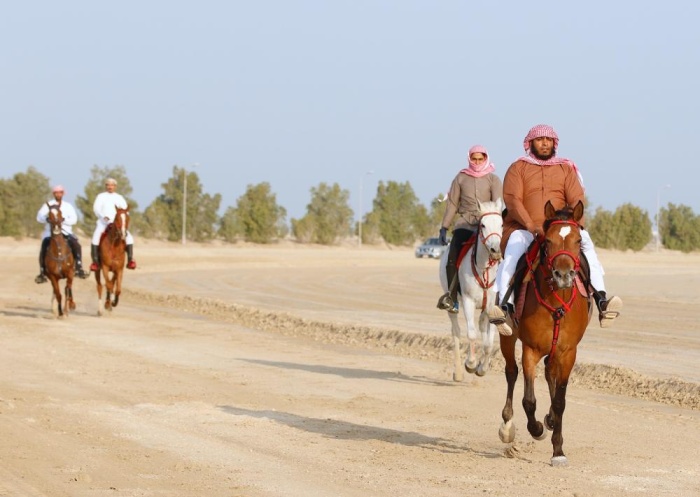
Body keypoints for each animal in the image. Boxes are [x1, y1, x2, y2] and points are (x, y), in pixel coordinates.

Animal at [438, 198, 504, 380]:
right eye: (483, 225)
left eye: (501, 224)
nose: (495, 250)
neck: (484, 269)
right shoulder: (468, 301)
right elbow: (471, 334)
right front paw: (471, 364)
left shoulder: (490, 307)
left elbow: (488, 343)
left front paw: (482, 368)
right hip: (453, 306)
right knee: (456, 331)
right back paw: (459, 373)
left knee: (481, 327)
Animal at [498, 201, 592, 464]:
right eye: (548, 241)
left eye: (578, 240)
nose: (564, 275)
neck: (556, 302)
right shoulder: (530, 349)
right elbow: (528, 400)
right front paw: (537, 429)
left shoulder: (568, 352)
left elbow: (560, 401)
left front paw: (558, 449)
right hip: (507, 336)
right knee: (511, 372)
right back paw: (507, 426)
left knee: (550, 373)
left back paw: (549, 418)